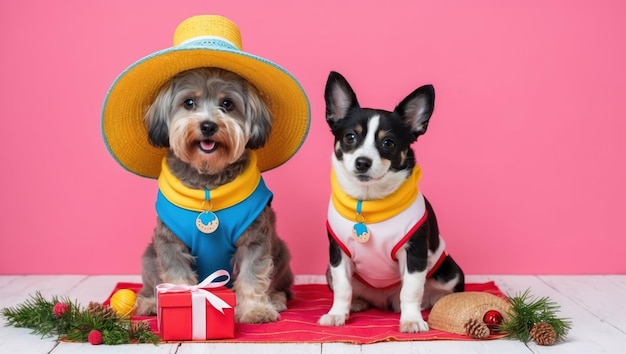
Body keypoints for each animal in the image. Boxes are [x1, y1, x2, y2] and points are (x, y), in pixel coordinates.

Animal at [316, 71, 464, 332]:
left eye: (388, 143)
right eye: (350, 137)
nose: (363, 161)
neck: (368, 202)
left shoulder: (415, 253)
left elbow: (411, 289)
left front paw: (412, 320)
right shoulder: (338, 255)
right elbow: (343, 288)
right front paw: (337, 314)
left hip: (449, 272)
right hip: (328, 271)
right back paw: (357, 304)